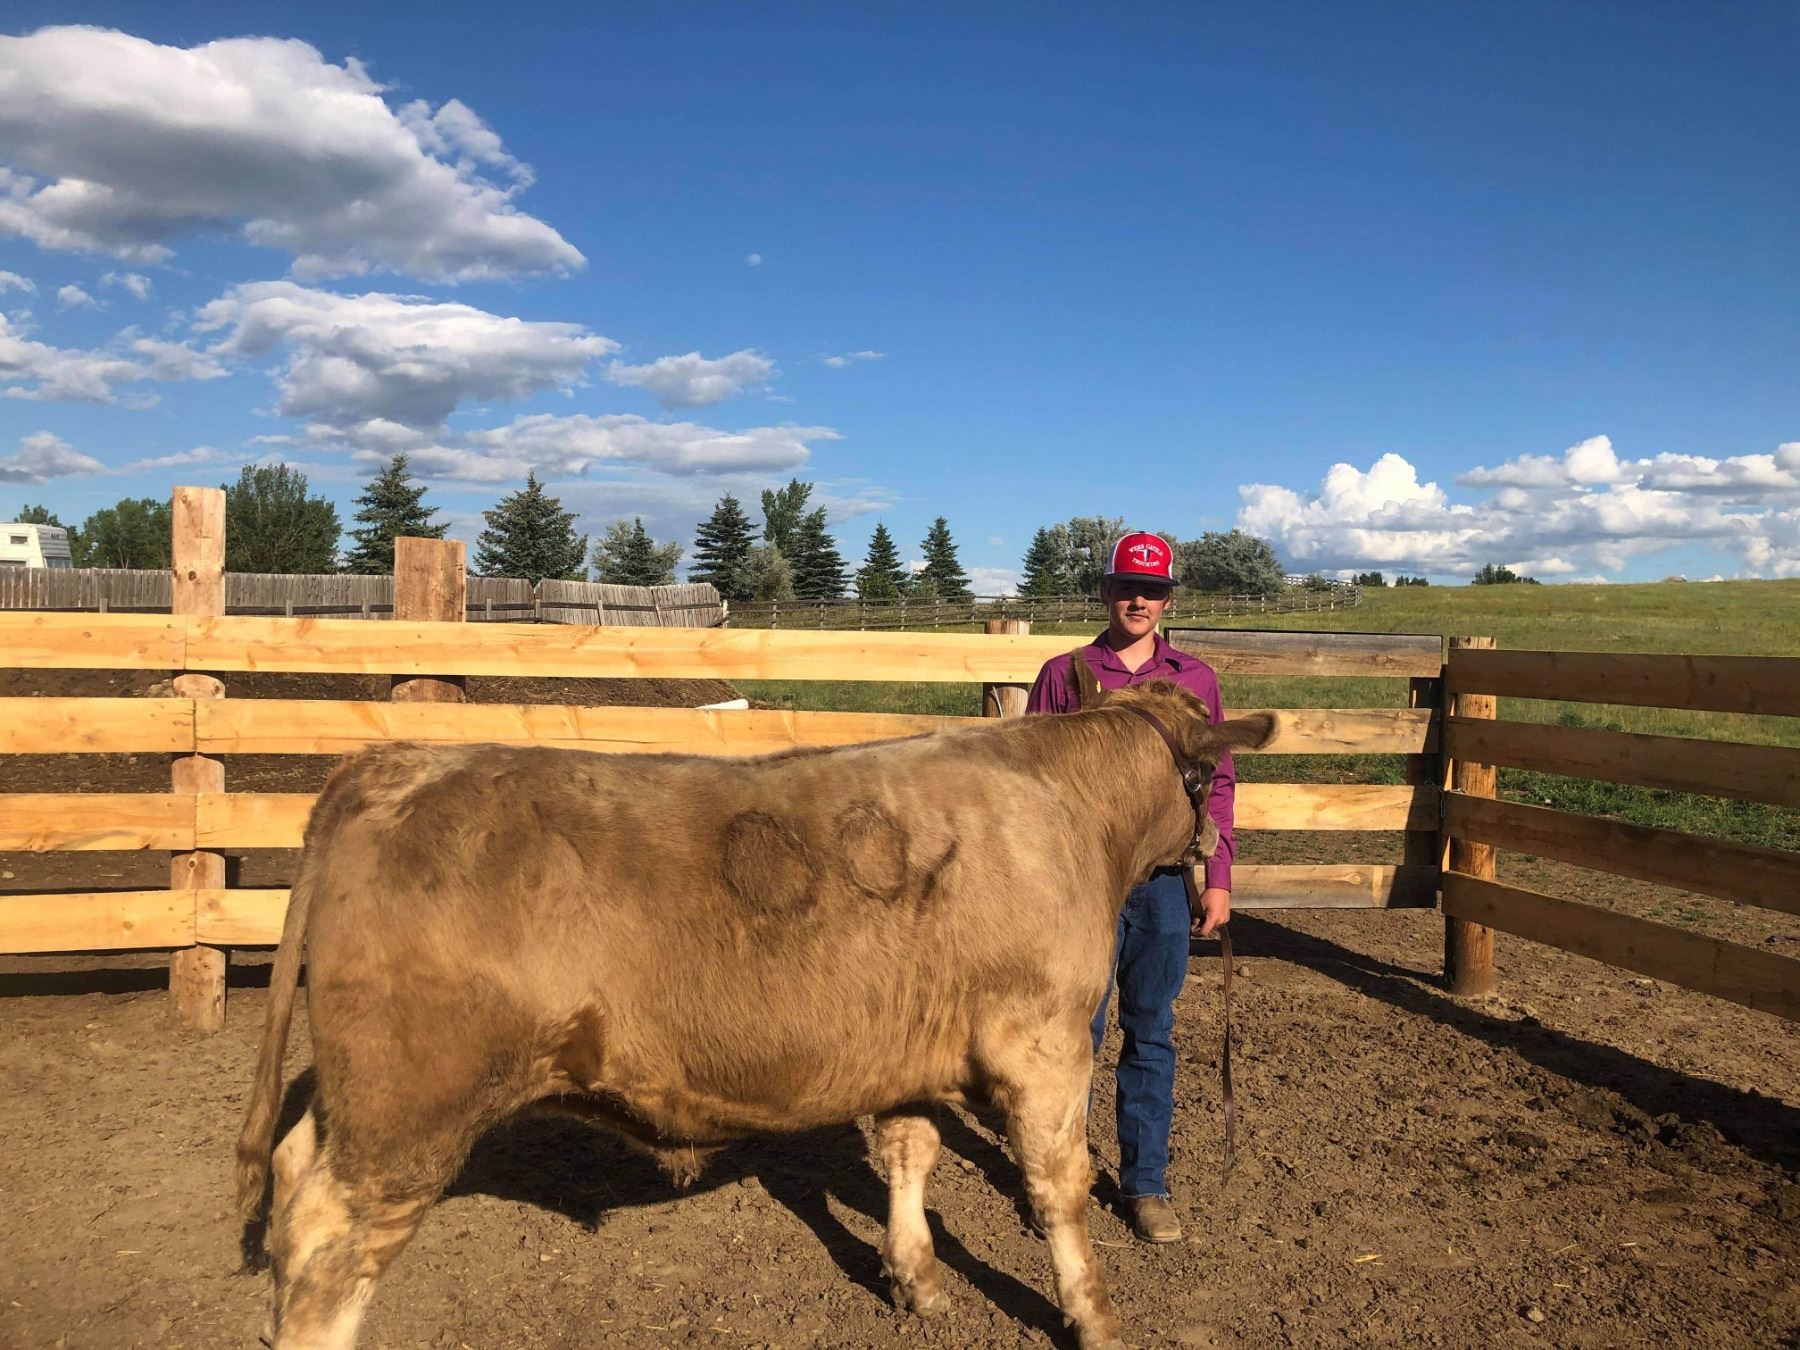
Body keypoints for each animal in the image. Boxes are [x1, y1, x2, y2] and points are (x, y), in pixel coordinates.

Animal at [236, 659, 1276, 1349]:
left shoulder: (905, 1045)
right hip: (409, 1108)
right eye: (1214, 773)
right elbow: (1059, 1184)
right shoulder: (1046, 1041)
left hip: (357, 1097)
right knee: (330, 1240)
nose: (1214, 853)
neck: (1067, 809)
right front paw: (1095, 1315)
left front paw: (918, 1279)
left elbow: (912, 1153)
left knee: (290, 1172)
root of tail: (389, 764)